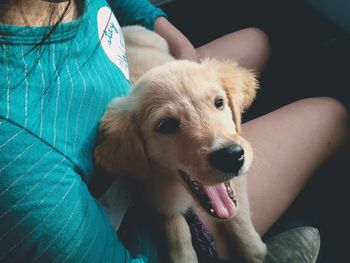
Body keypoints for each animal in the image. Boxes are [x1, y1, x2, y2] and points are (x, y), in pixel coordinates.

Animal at [94, 25, 266, 262]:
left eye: (219, 102)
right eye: (165, 125)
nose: (231, 157)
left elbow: (237, 209)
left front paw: (252, 249)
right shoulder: (155, 196)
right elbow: (175, 227)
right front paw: (184, 254)